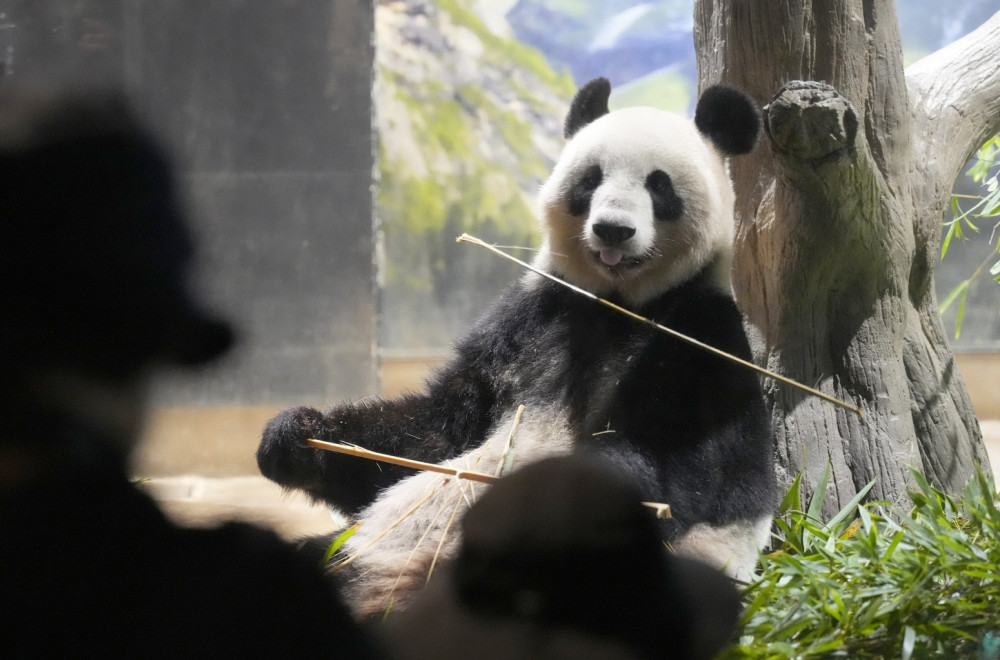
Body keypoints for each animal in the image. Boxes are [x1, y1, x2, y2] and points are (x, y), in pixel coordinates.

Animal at [256, 77, 772, 620]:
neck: (619, 303)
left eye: (660, 185)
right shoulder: (530, 321)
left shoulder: (700, 342)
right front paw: (297, 435)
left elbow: (671, 471)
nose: (613, 228)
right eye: (591, 179)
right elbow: (432, 434)